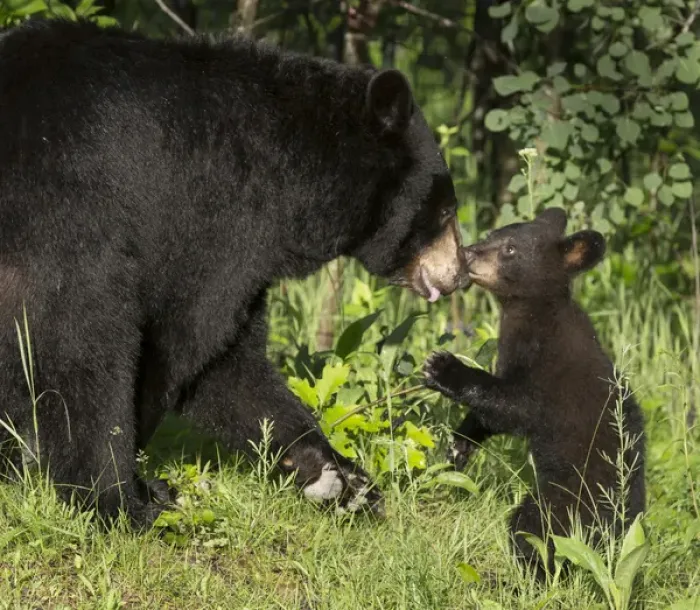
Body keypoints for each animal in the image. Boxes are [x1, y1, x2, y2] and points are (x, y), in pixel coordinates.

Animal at [0, 18, 466, 528]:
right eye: (446, 210)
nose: (460, 273)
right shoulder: (216, 218)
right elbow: (188, 337)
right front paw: (136, 479)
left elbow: (233, 365)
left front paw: (341, 479)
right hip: (66, 225)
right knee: (86, 349)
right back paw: (118, 501)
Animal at [423, 208, 646, 579]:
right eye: (492, 233)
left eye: (510, 249)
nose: (466, 253)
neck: (536, 314)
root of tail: (614, 536)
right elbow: (491, 415)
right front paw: (459, 445)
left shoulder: (547, 373)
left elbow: (515, 406)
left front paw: (443, 367)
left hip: (566, 501)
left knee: (535, 534)